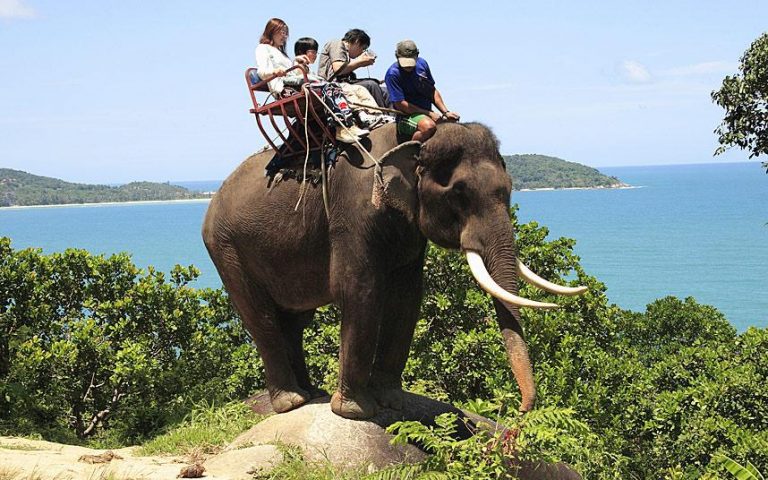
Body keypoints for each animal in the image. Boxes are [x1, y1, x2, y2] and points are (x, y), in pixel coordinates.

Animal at [201, 121, 584, 420]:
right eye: (459, 193)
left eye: (508, 189)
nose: (521, 409)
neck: (413, 137)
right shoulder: (354, 211)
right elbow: (360, 289)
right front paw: (355, 412)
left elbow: (406, 297)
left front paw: (392, 403)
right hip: (226, 248)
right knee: (261, 318)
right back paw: (291, 402)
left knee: (295, 322)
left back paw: (312, 394)